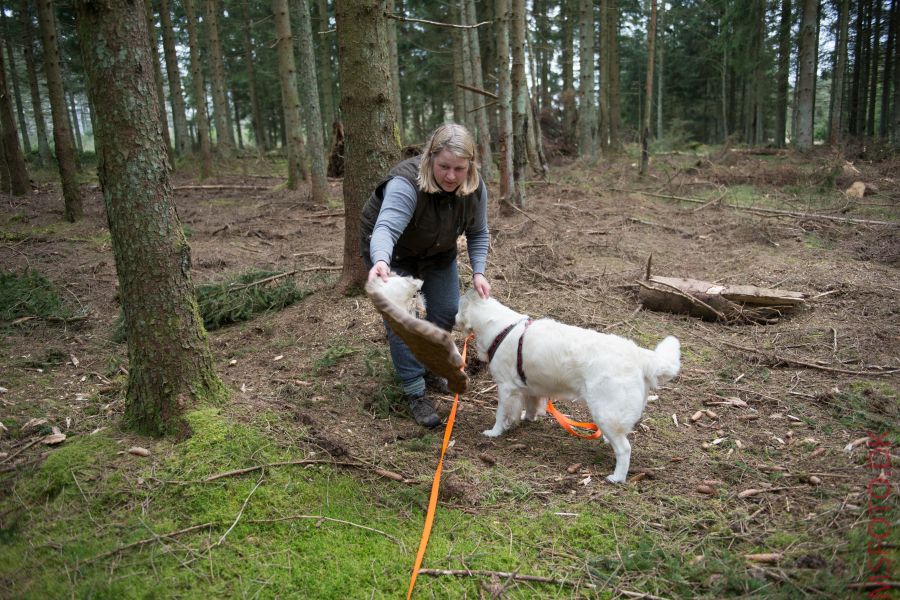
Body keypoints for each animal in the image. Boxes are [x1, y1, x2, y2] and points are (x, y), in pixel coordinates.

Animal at [460, 290, 680, 482]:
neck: (502, 329)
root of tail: (639, 354)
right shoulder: (528, 387)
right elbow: (529, 406)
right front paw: (525, 419)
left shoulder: (505, 387)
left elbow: (500, 414)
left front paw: (494, 432)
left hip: (605, 412)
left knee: (625, 449)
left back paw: (617, 477)